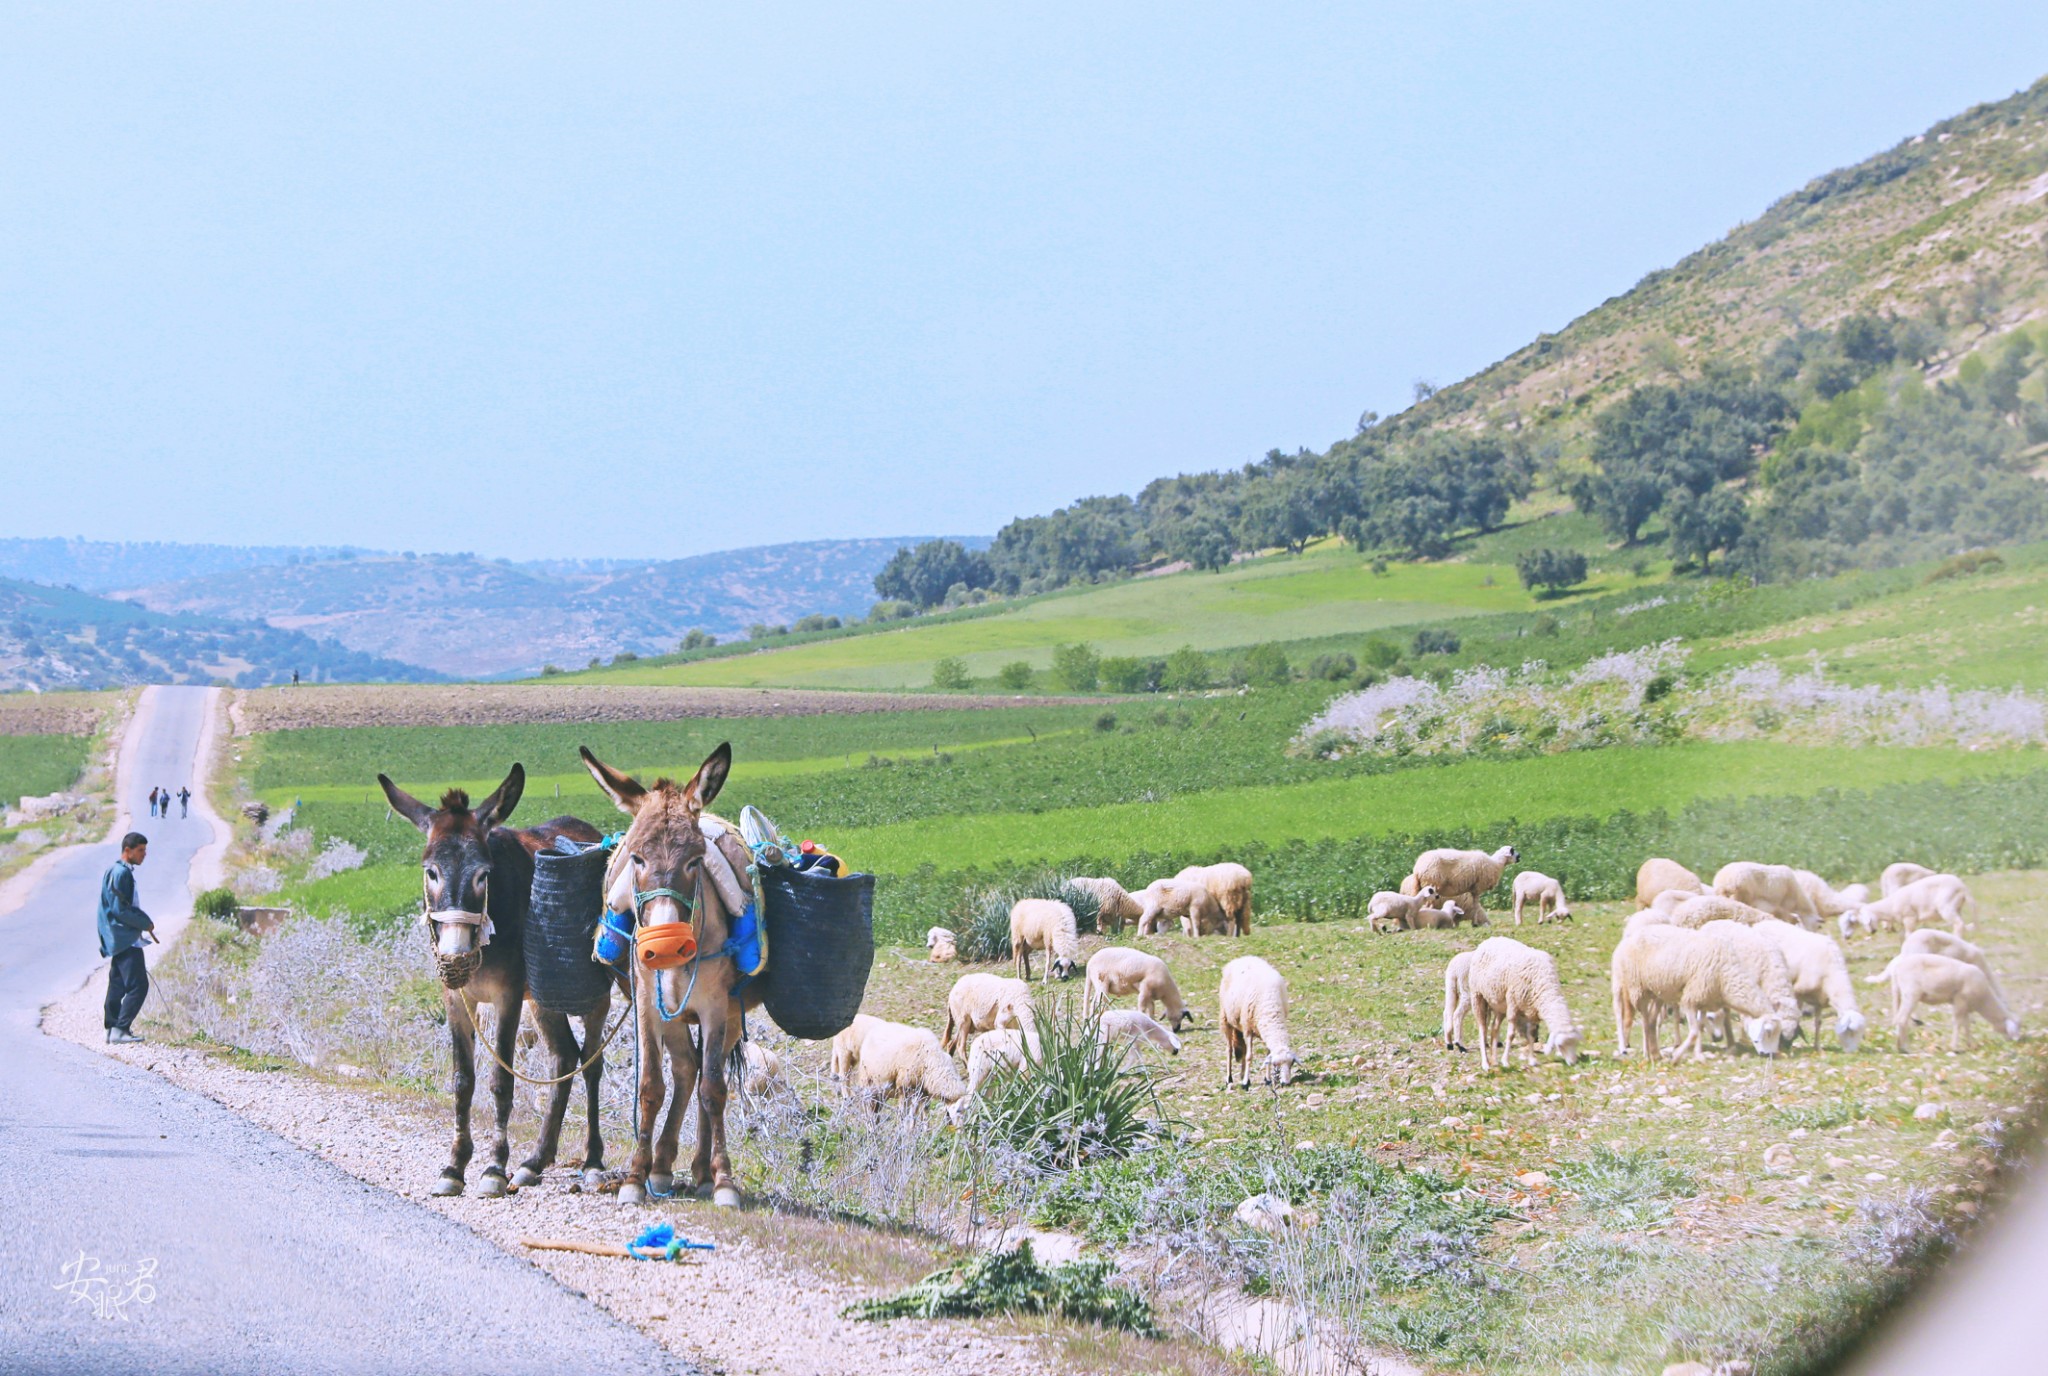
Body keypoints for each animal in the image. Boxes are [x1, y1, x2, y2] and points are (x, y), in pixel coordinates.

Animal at [1212, 958, 1294, 1089]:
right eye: (1277, 1064)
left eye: (1291, 1064)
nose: (1286, 1083)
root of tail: (1242, 958)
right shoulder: (1248, 1030)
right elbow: (1249, 1056)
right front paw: (1246, 1083)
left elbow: (1266, 1055)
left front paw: (1267, 1079)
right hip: (1225, 1019)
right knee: (1229, 1050)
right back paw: (1229, 1079)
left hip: (1240, 1025)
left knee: (1243, 1049)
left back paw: (1241, 1075)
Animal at [1474, 941, 1581, 1072]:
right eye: (1560, 1045)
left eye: (1576, 1043)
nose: (1573, 1063)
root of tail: (1488, 941)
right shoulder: (1513, 1004)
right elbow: (1511, 1035)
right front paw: (1506, 1061)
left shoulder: (1531, 1011)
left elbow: (1531, 1036)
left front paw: (1532, 1060)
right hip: (1478, 997)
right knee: (1482, 1030)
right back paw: (1485, 1063)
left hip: (1499, 1004)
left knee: (1494, 1029)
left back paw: (1494, 1061)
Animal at [1613, 925, 1794, 1064]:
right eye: (1769, 1032)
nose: (1769, 1055)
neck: (1725, 975)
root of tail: (1630, 936)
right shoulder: (1690, 998)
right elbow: (1694, 1031)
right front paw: (1676, 1056)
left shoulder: (1704, 1000)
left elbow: (1699, 1027)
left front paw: (1697, 1055)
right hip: (1637, 987)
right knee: (1643, 1020)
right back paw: (1645, 1053)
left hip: (1658, 992)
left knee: (1651, 1020)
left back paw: (1656, 1054)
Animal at [1744, 913, 1875, 1056]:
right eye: (1850, 1032)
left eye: (1860, 1034)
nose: (1853, 1053)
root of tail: (1758, 925)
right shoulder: (1798, 992)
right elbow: (1796, 1019)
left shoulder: (1820, 1000)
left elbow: (1818, 1023)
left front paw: (1817, 1047)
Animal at [1867, 958, 2023, 1056]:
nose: (2015, 1041)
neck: (1983, 1000)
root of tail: (1896, 968)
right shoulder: (1960, 1000)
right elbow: (1958, 1023)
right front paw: (1954, 1047)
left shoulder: (1964, 1005)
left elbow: (1966, 1025)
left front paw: (1970, 1044)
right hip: (1911, 993)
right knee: (1902, 1019)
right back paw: (1905, 1048)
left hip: (1898, 992)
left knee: (1897, 1018)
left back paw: (1899, 1046)